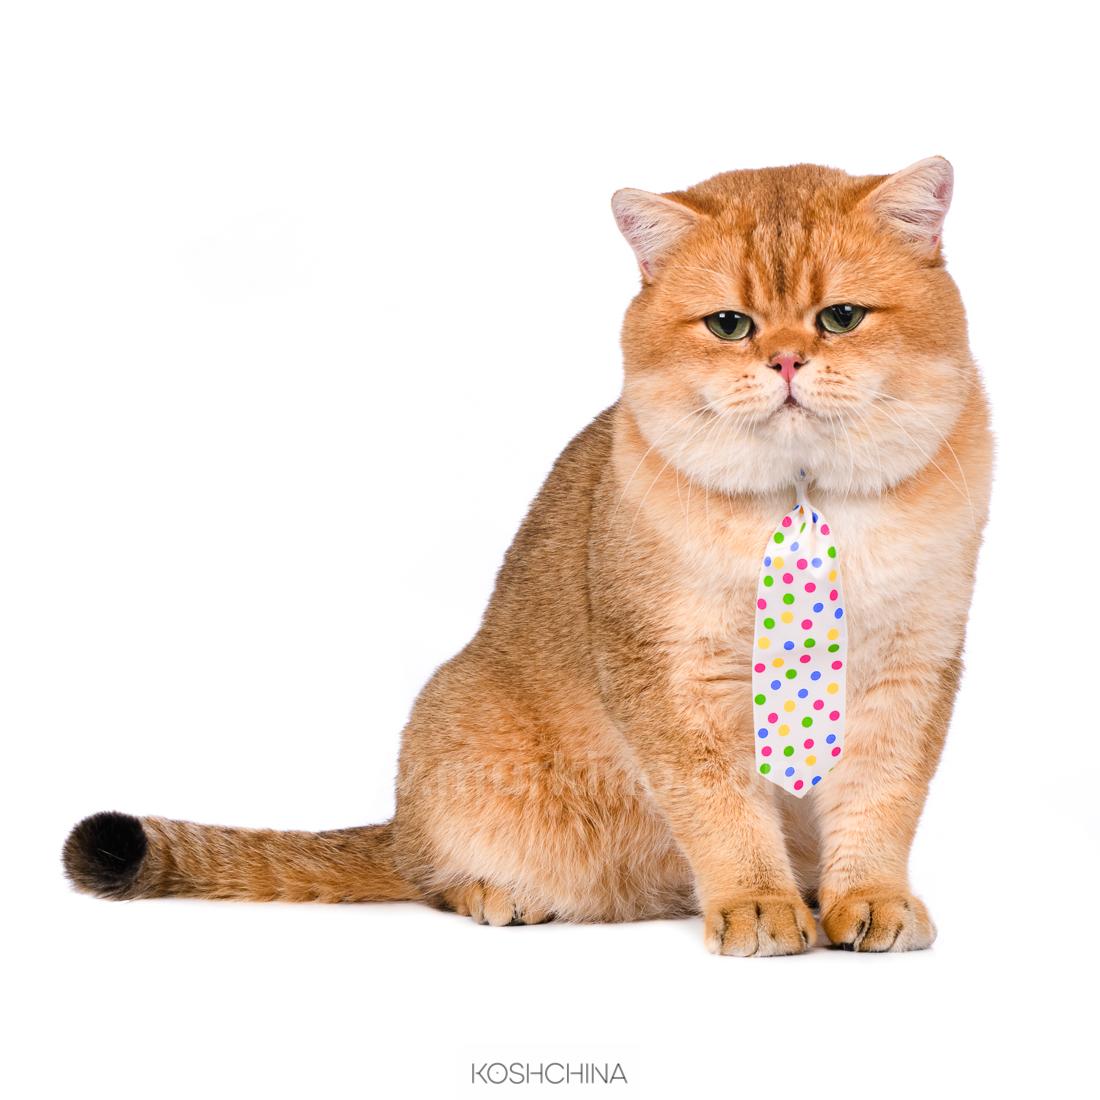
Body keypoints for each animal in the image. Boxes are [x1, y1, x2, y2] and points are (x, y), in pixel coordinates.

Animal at [63, 158, 992, 955]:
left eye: (842, 316)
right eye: (730, 324)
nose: (788, 361)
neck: (802, 496)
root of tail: (399, 824)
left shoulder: (911, 665)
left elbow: (881, 800)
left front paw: (866, 898)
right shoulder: (675, 675)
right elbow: (721, 806)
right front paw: (758, 904)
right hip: (456, 730)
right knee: (426, 875)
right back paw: (498, 894)